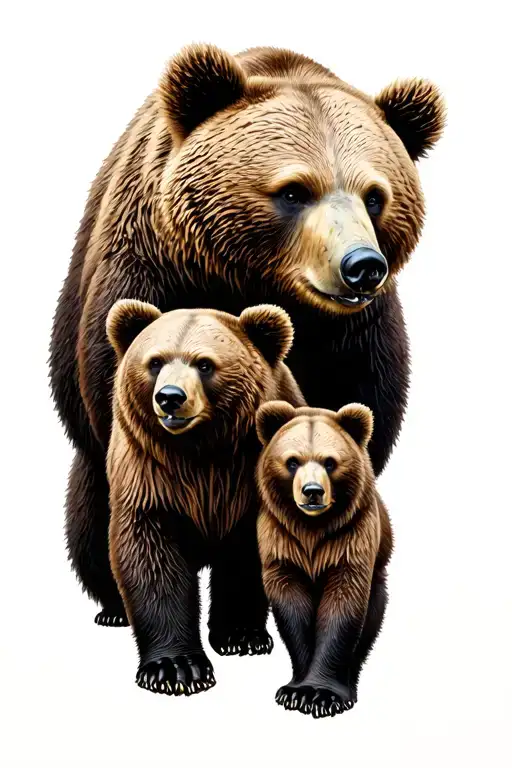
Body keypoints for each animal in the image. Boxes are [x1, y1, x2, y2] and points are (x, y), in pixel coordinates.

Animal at [49, 43, 444, 629]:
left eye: (375, 196)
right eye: (294, 191)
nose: (361, 266)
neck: (259, 280)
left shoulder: (357, 335)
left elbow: (359, 416)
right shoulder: (153, 270)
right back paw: (112, 603)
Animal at [105, 300, 305, 693]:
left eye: (205, 364)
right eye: (155, 361)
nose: (170, 397)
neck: (201, 452)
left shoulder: (248, 477)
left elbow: (247, 557)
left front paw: (241, 635)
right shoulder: (150, 475)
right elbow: (151, 556)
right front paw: (176, 668)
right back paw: (113, 611)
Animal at [255, 401, 392, 718]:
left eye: (330, 462)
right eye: (292, 461)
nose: (312, 492)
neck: (312, 530)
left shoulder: (349, 540)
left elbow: (343, 608)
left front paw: (322, 694)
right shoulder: (282, 543)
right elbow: (292, 611)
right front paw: (296, 691)